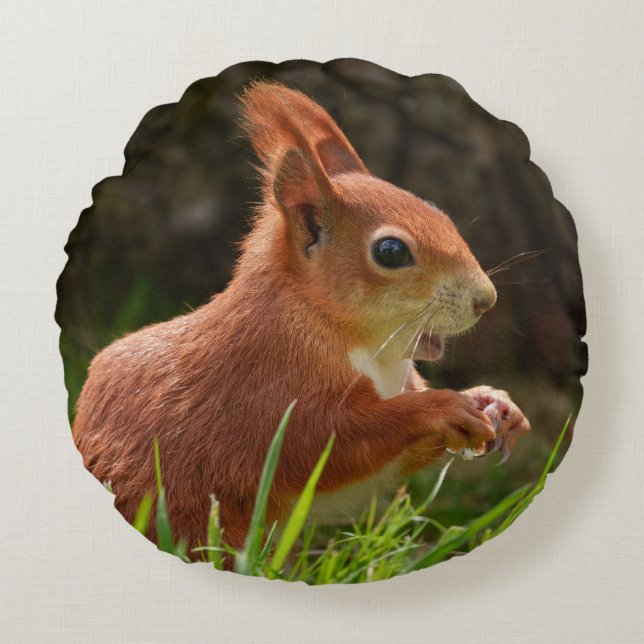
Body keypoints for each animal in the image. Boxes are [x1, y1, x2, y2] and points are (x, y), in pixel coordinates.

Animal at [73, 81, 530, 563]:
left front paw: (497, 403)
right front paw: (442, 407)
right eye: (390, 252)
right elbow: (326, 443)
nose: (486, 299)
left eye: (440, 213)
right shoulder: (267, 391)